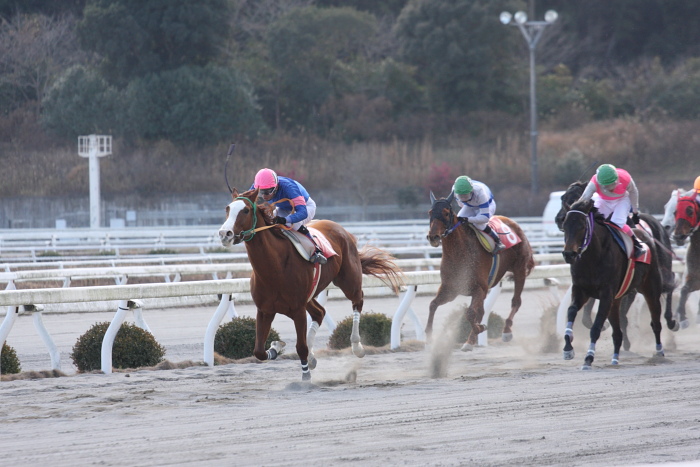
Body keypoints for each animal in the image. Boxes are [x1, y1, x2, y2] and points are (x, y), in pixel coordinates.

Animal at [219, 188, 404, 382]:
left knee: (357, 301)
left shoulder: (298, 310)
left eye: (245, 210)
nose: (225, 234)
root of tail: (342, 230)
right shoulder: (265, 310)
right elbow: (259, 351)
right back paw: (313, 358)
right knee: (320, 313)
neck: (275, 268)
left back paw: (357, 347)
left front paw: (306, 376)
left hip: (348, 281)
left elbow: (300, 347)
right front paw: (276, 346)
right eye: (227, 208)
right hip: (310, 295)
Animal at [424, 192, 532, 350]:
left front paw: (479, 330)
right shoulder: (450, 290)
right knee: (482, 310)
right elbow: (432, 305)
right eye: (430, 212)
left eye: (445, 213)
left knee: (516, 301)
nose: (433, 237)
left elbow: (470, 313)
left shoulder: (479, 289)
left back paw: (506, 331)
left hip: (519, 270)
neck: (460, 253)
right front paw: (429, 335)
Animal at [552, 181, 680, 350]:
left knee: (668, 285)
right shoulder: (590, 286)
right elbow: (586, 316)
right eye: (563, 197)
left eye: (574, 197)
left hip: (661, 268)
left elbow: (620, 315)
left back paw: (671, 321)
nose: (559, 218)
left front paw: (623, 340)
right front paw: (604, 326)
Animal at [564, 198, 672, 370]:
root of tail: (646, 236)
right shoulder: (581, 290)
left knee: (656, 322)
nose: (568, 254)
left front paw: (588, 358)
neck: (592, 257)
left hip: (651, 289)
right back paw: (615, 358)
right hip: (616, 300)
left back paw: (659, 352)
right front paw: (568, 348)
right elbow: (572, 311)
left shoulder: (606, 295)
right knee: (618, 332)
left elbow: (596, 327)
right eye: (564, 226)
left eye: (582, 226)